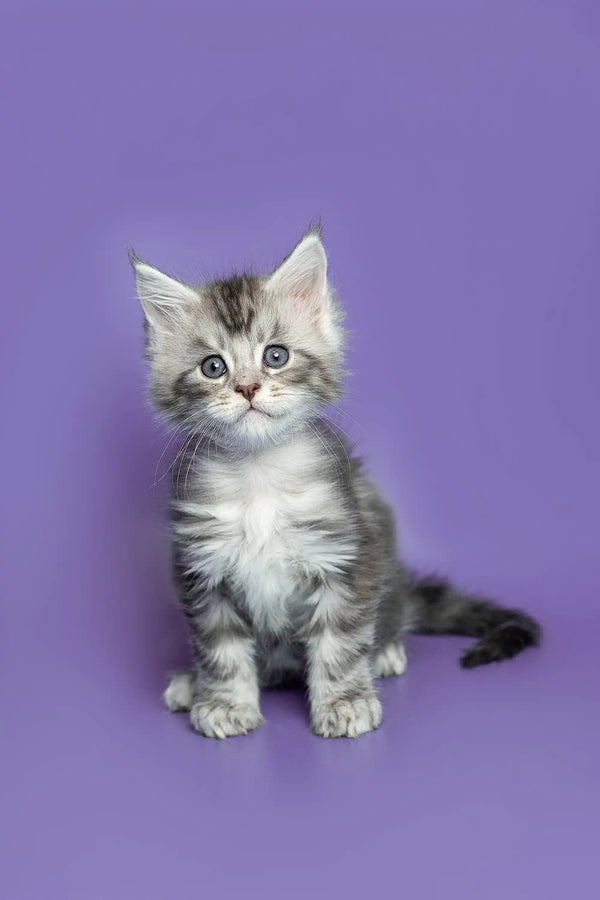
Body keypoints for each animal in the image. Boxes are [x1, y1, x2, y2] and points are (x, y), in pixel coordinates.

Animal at [132, 230, 544, 740]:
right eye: (213, 367)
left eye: (275, 356)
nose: (247, 388)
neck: (258, 473)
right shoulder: (202, 571)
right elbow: (220, 649)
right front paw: (225, 702)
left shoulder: (345, 555)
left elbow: (339, 641)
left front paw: (345, 702)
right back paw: (191, 682)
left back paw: (385, 651)